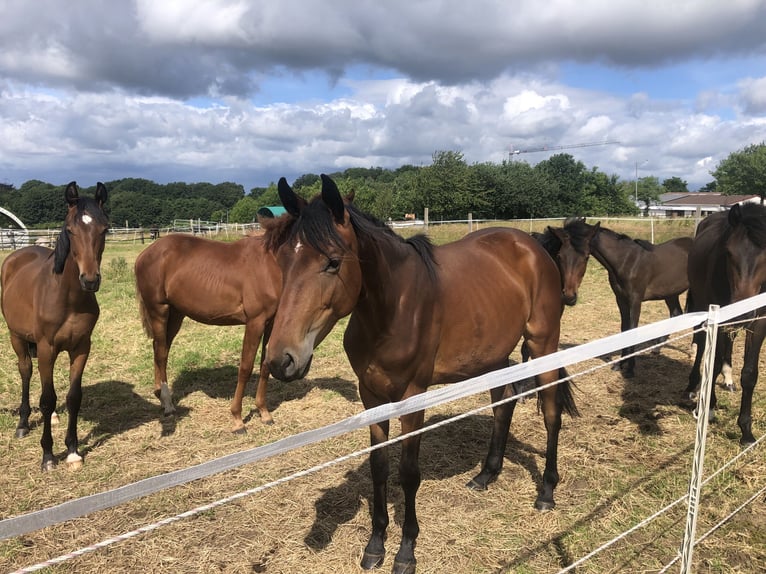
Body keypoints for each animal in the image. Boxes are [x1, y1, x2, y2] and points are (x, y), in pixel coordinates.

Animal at [0, 181, 109, 472]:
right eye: (70, 230)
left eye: (104, 229)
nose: (90, 280)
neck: (67, 297)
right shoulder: (47, 348)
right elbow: (47, 400)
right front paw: (48, 455)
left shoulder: (81, 348)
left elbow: (73, 397)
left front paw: (72, 450)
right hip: (17, 337)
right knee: (26, 371)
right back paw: (23, 424)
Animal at [136, 234, 284, 432]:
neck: (270, 262)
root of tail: (145, 253)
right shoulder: (255, 322)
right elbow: (245, 367)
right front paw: (237, 419)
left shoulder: (271, 322)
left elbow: (265, 365)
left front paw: (264, 413)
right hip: (159, 311)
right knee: (160, 354)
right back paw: (168, 405)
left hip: (175, 314)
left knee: (160, 349)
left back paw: (160, 395)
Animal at [264, 176, 576, 574]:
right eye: (282, 262)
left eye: (332, 262)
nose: (281, 360)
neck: (393, 309)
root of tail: (533, 245)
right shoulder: (371, 396)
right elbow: (379, 467)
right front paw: (375, 545)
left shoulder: (413, 397)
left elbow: (409, 473)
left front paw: (406, 550)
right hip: (493, 357)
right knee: (503, 404)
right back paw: (486, 474)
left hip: (542, 344)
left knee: (551, 413)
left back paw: (547, 491)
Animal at [688, 205, 766, 448]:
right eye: (729, 253)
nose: (742, 311)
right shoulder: (720, 319)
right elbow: (711, 362)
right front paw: (709, 409)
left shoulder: (759, 321)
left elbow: (750, 374)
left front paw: (746, 432)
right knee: (701, 343)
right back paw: (692, 388)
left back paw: (728, 378)